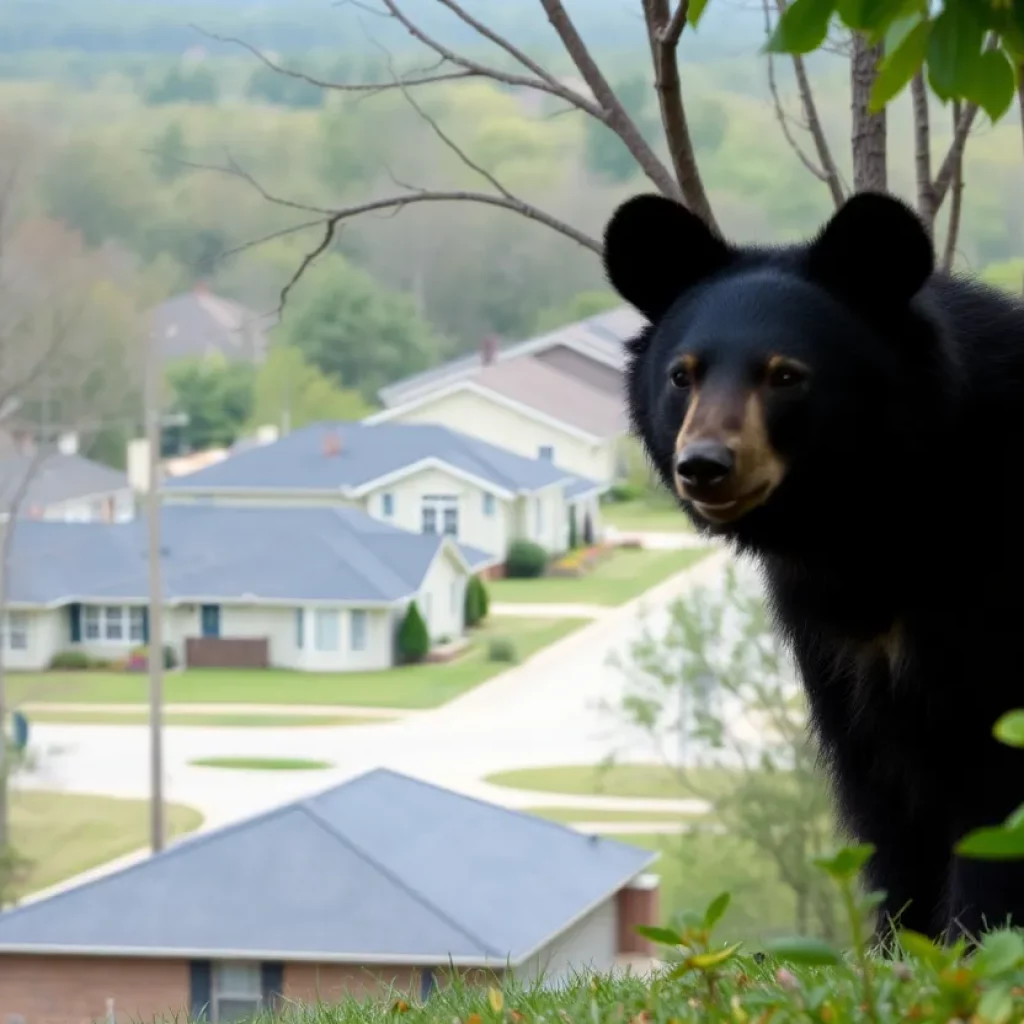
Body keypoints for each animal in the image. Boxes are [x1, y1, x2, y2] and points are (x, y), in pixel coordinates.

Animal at [602, 189, 1024, 943]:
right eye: (683, 374)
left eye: (786, 375)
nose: (703, 466)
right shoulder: (839, 649)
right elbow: (886, 808)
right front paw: (899, 948)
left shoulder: (990, 598)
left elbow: (995, 800)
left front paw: (980, 945)